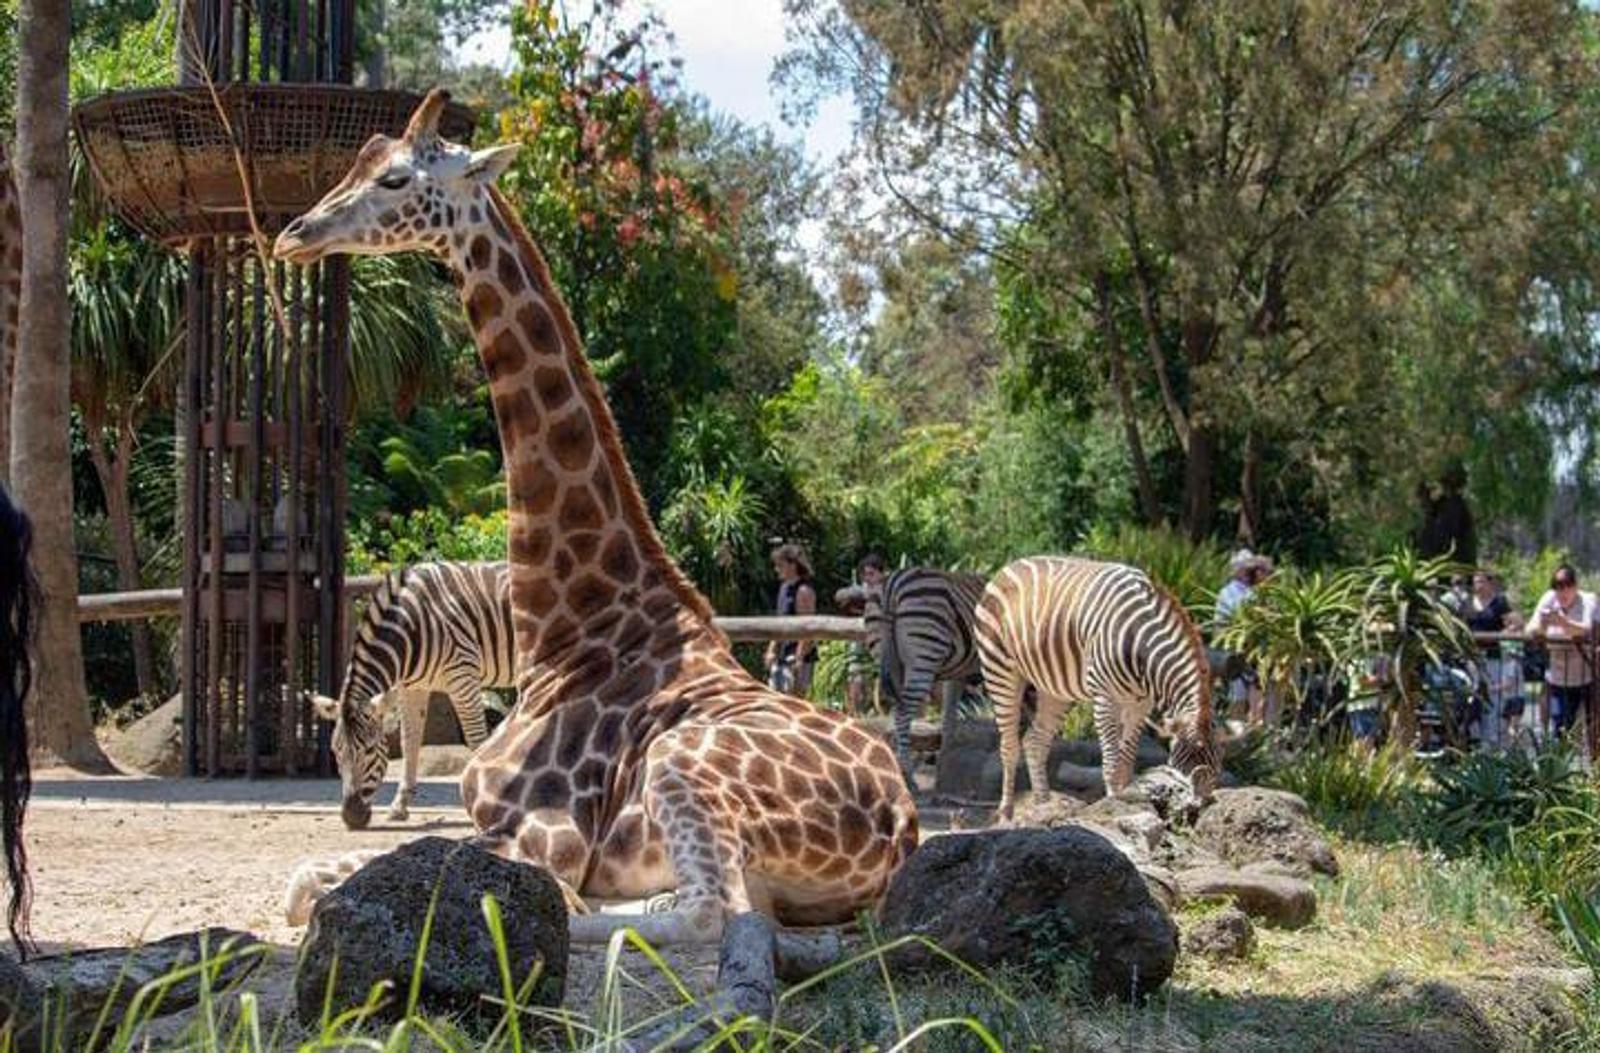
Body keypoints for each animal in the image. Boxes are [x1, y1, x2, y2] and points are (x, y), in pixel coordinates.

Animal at [305, 556, 512, 825]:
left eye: (369, 750)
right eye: (336, 752)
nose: (351, 817)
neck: (410, 626)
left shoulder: (462, 676)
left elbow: (476, 741)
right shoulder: (412, 687)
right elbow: (409, 741)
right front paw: (399, 805)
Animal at [864, 566, 985, 771]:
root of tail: (891, 585)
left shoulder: (958, 675)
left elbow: (948, 718)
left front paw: (945, 761)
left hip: (889, 659)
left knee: (896, 712)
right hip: (923, 656)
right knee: (903, 713)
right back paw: (906, 771)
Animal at [966, 553, 1216, 816]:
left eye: (1217, 758)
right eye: (1184, 762)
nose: (1203, 805)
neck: (1139, 645)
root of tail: (1010, 565)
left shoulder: (1139, 704)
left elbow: (1127, 760)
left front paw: (1128, 797)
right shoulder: (1105, 696)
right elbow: (1111, 760)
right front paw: (1115, 802)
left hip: (1054, 689)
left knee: (1035, 742)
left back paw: (1044, 808)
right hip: (999, 669)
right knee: (1009, 745)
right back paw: (1006, 812)